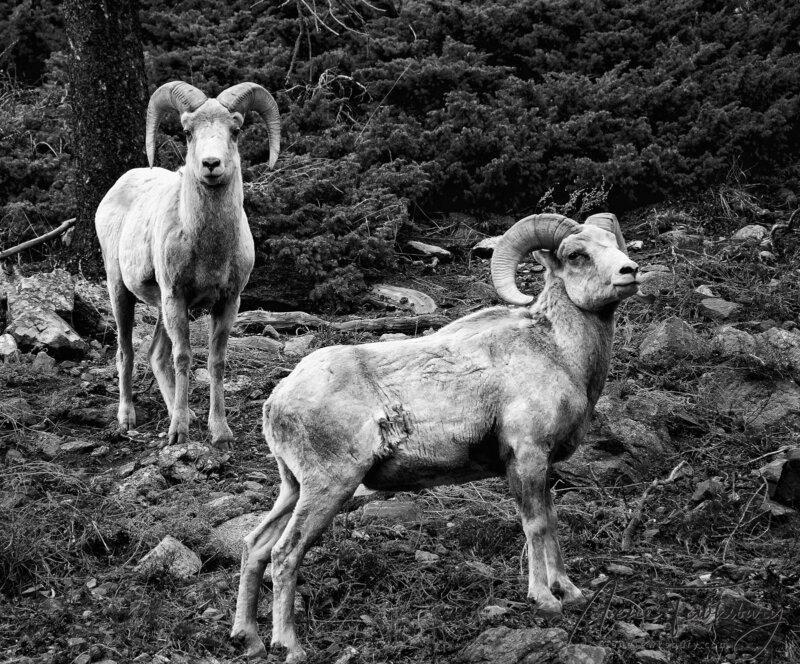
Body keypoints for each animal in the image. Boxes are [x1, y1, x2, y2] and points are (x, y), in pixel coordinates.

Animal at [95, 80, 282, 448]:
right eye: (187, 131)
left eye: (235, 130)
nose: (211, 164)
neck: (210, 250)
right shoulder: (176, 296)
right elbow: (183, 357)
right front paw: (178, 433)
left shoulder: (226, 302)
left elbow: (216, 361)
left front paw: (220, 432)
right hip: (121, 290)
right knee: (126, 352)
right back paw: (127, 419)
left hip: (161, 306)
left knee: (156, 355)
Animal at [231, 213, 636, 660]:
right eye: (577, 254)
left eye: (610, 243)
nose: (629, 271)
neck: (558, 353)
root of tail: (277, 400)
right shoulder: (528, 457)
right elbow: (535, 525)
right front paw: (545, 600)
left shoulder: (540, 467)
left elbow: (551, 521)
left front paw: (570, 591)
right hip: (328, 488)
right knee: (285, 554)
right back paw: (290, 645)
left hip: (293, 488)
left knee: (255, 546)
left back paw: (248, 638)